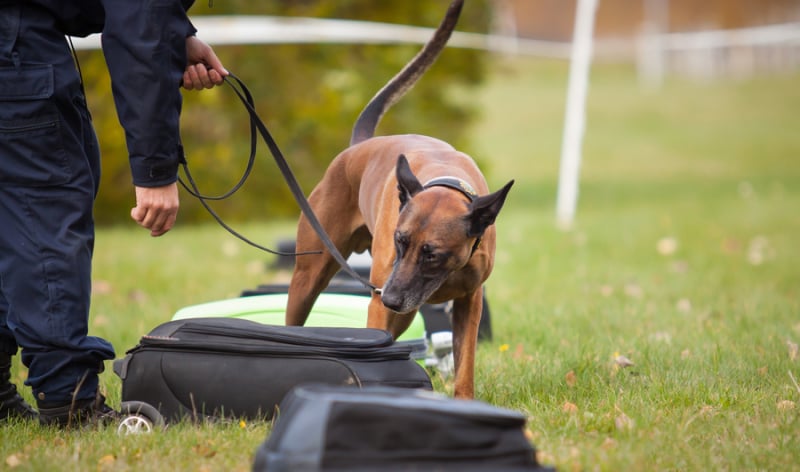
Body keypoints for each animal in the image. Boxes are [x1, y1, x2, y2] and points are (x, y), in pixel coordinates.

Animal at [286, 0, 512, 398]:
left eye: (432, 254)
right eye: (399, 241)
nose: (389, 297)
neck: (445, 182)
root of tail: (360, 146)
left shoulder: (469, 302)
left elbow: (465, 367)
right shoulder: (381, 299)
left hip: (404, 311)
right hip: (311, 275)